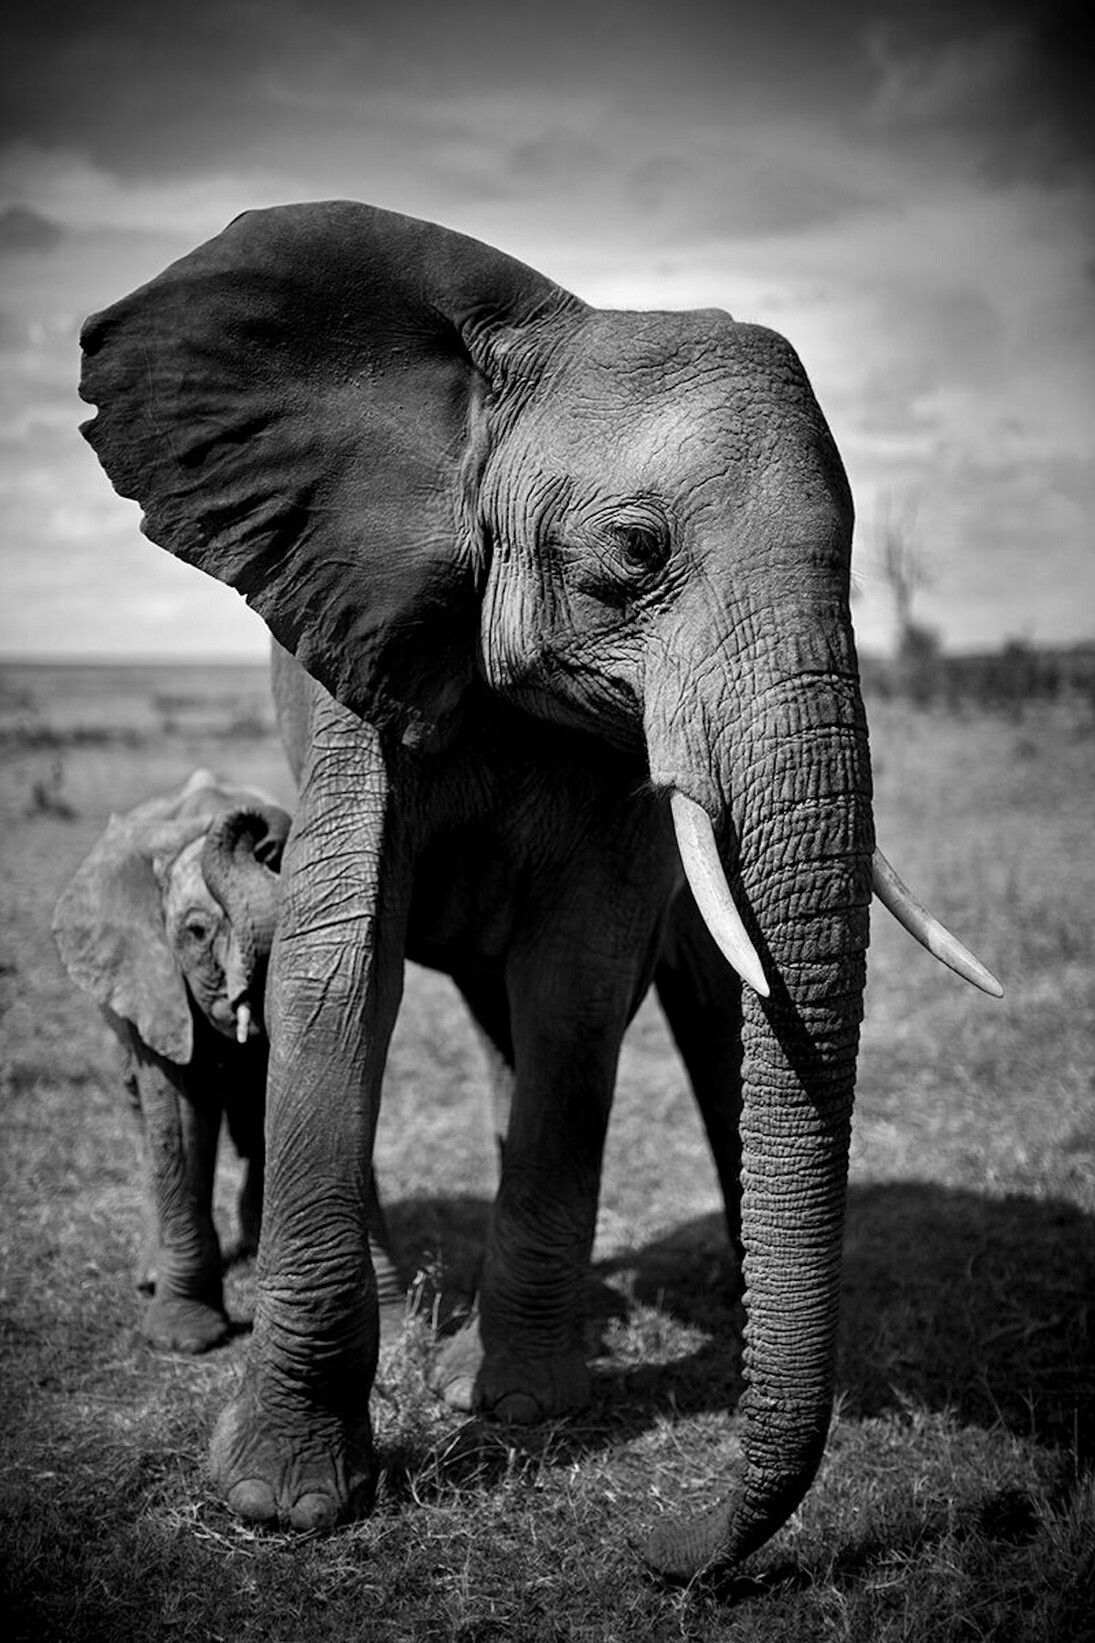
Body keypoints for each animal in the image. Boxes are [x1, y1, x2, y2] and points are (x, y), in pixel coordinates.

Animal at [77, 202, 1001, 1578]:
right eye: (636, 549)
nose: (666, 1550)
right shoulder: (360, 642)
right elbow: (341, 969)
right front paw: (284, 1498)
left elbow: (576, 993)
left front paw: (523, 1407)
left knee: (689, 1013)